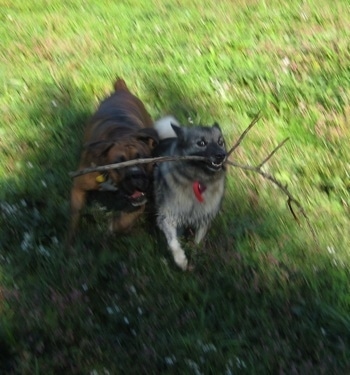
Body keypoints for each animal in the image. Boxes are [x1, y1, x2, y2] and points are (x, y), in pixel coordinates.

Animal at [68, 78, 159, 242]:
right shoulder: (78, 187)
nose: (135, 174)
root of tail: (121, 90)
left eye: (143, 160)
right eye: (119, 164)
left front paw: (115, 227)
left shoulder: (139, 199)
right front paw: (69, 243)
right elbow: (74, 217)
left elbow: (127, 218)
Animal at [154, 117, 227, 270]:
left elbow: (197, 243)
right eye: (201, 143)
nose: (221, 156)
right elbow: (174, 243)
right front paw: (181, 260)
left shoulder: (203, 219)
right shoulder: (167, 218)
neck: (198, 180)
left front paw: (195, 254)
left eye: (220, 142)